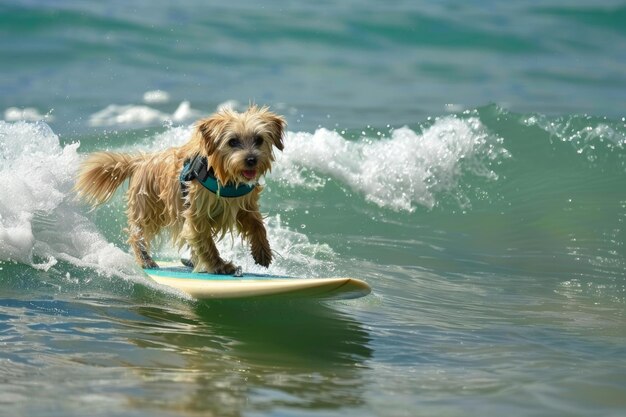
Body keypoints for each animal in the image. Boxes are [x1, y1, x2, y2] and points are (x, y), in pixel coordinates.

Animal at [75, 105, 286, 272]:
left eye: (259, 139)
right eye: (232, 141)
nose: (251, 159)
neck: (224, 177)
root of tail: (141, 161)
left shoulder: (244, 205)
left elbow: (257, 224)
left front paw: (262, 251)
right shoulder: (196, 213)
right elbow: (205, 240)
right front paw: (220, 266)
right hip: (148, 207)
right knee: (138, 233)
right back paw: (146, 260)